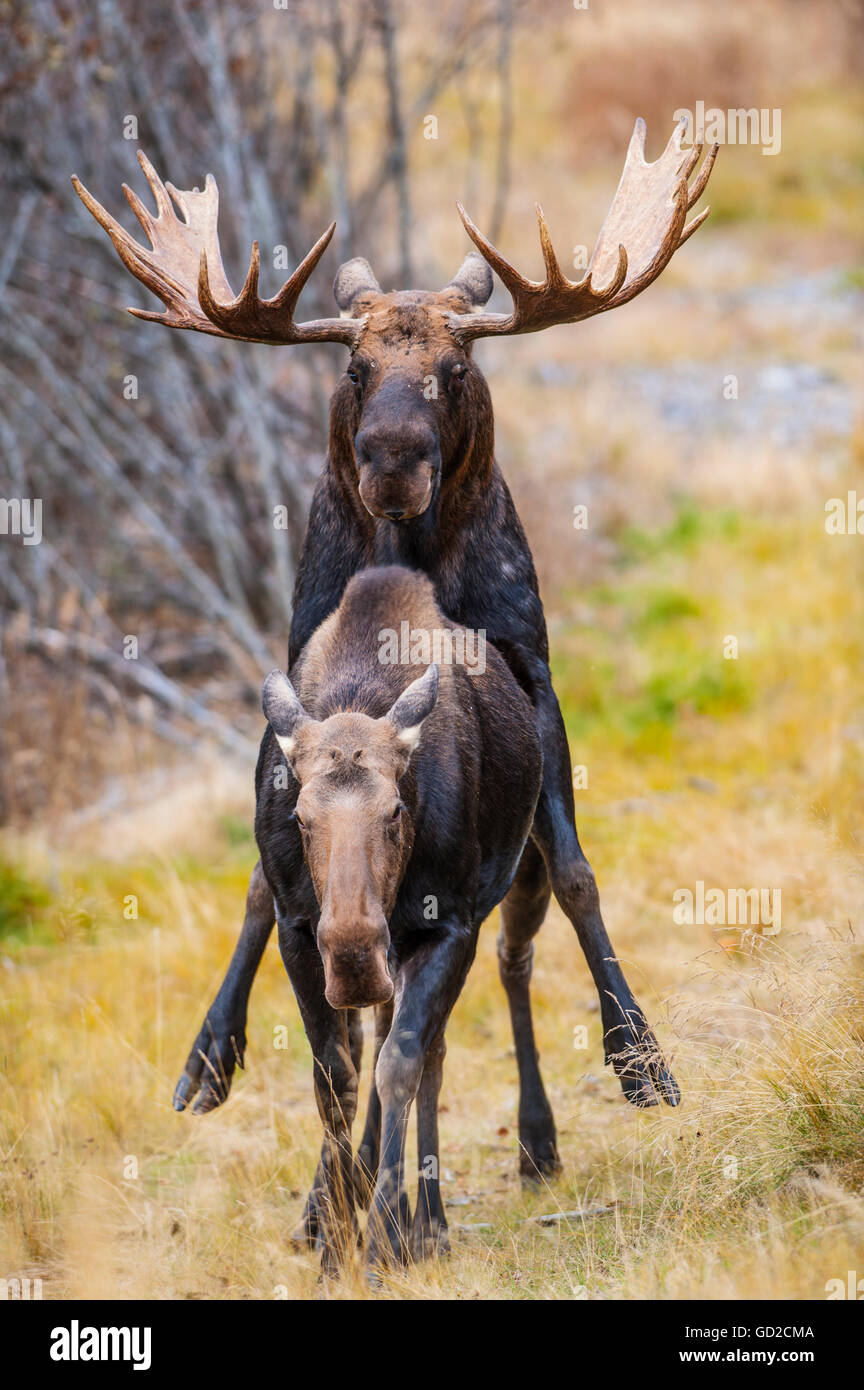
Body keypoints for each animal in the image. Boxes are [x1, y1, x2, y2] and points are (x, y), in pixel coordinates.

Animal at [74, 125, 722, 1178]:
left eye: (454, 371)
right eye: (352, 371)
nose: (391, 458)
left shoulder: (536, 682)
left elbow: (579, 880)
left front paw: (640, 1056)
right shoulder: (295, 691)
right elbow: (263, 894)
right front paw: (217, 1056)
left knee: (511, 955)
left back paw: (534, 1136)